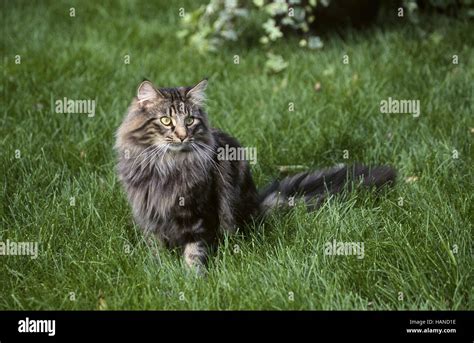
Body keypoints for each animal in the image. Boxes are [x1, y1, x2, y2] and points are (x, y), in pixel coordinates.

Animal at [115, 79, 396, 272]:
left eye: (191, 121)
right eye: (166, 121)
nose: (183, 136)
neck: (166, 166)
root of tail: (258, 205)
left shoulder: (199, 211)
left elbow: (194, 250)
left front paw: (191, 279)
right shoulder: (149, 213)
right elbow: (156, 249)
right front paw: (159, 270)